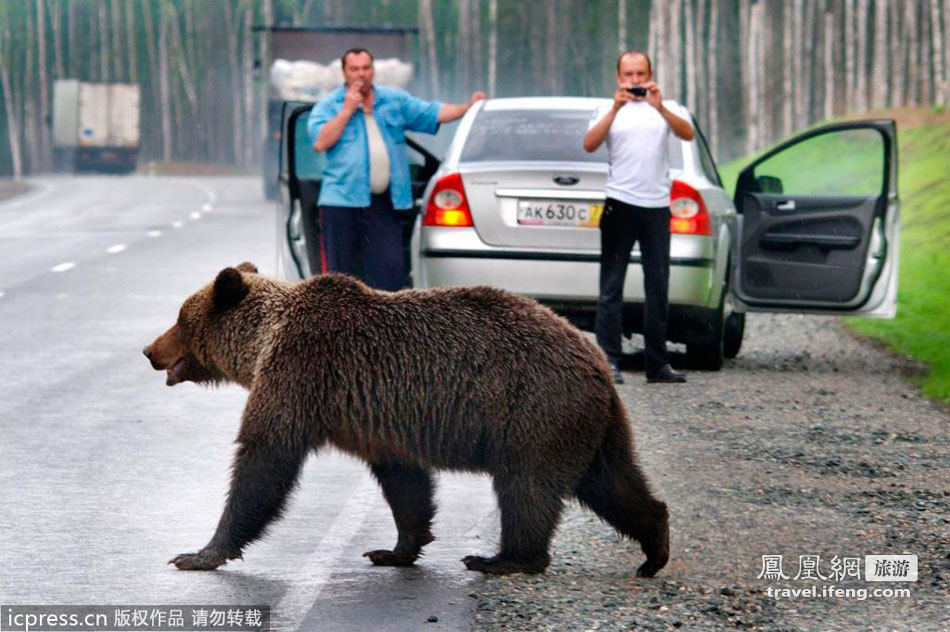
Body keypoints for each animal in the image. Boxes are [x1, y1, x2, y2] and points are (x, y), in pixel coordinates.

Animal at [145, 262, 672, 576]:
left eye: (180, 319)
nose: (150, 350)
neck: (263, 341)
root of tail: (598, 362)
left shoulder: (302, 372)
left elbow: (265, 459)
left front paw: (200, 552)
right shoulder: (379, 419)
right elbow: (405, 482)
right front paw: (396, 548)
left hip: (534, 413)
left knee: (526, 488)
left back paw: (502, 559)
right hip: (591, 425)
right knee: (613, 482)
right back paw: (655, 546)